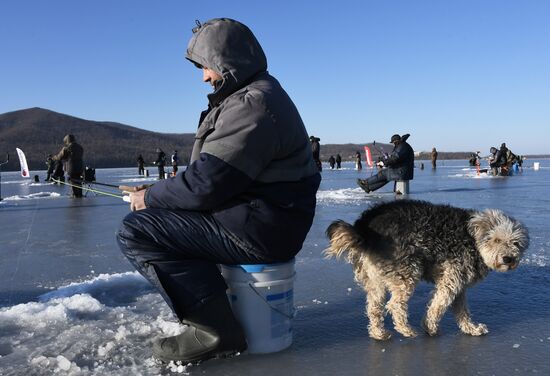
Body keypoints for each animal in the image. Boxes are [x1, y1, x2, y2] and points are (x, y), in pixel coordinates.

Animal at [328, 200, 532, 340]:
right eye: (496, 239)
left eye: (515, 243)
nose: (508, 259)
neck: (473, 240)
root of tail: (364, 227)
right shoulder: (451, 280)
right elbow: (438, 305)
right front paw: (430, 327)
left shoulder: (459, 283)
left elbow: (462, 311)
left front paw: (471, 328)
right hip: (407, 272)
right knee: (395, 305)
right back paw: (406, 330)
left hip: (375, 278)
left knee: (374, 307)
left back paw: (379, 333)